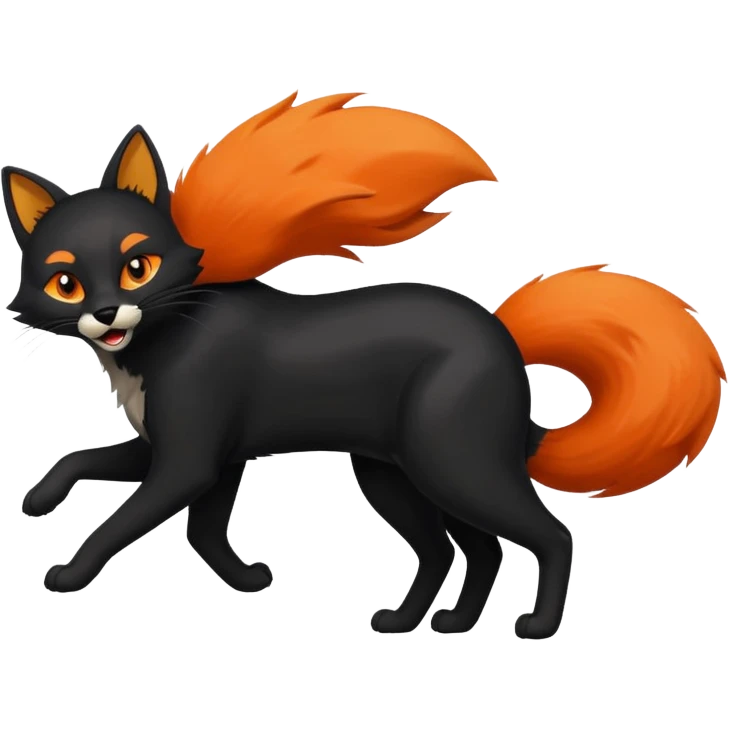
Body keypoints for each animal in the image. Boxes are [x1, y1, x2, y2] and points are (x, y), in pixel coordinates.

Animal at [5, 91, 726, 639]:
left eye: (138, 267)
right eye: (65, 283)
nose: (106, 311)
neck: (153, 345)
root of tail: (506, 341)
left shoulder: (189, 459)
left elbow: (124, 524)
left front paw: (68, 575)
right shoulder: (193, 454)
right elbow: (129, 489)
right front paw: (40, 499)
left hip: (454, 466)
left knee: (549, 535)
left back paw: (537, 626)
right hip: (400, 475)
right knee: (466, 550)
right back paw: (431, 622)